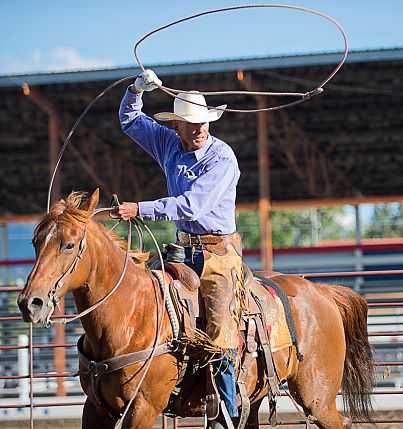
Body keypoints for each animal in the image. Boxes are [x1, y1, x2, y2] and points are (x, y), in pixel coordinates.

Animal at [16, 191, 376, 428]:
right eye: (35, 242)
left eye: (69, 244)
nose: (30, 302)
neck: (130, 315)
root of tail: (323, 291)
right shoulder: (95, 408)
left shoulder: (142, 408)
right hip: (256, 398)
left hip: (318, 398)